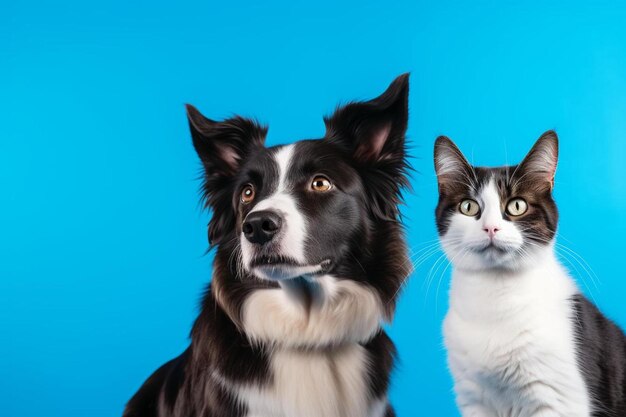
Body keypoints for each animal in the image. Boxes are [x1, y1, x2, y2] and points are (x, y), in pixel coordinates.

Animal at [432, 131, 624, 416]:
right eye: (468, 207)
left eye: (517, 206)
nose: (491, 228)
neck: (495, 297)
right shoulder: (474, 399)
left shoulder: (559, 399)